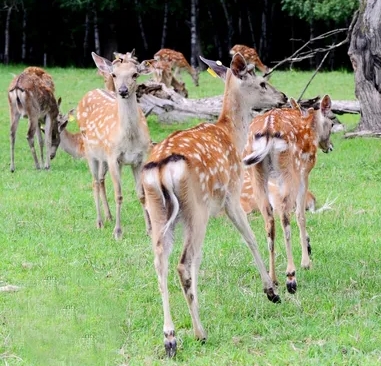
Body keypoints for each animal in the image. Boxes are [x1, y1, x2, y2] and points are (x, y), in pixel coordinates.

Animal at [76, 52, 152, 240]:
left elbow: (142, 195)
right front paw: (118, 232)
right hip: (91, 152)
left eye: (135, 74)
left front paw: (149, 229)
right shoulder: (114, 157)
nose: (123, 91)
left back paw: (109, 216)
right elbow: (118, 195)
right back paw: (100, 222)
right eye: (114, 74)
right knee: (95, 182)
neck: (129, 139)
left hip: (104, 157)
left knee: (101, 180)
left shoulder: (139, 159)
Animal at [141, 53, 286, 356]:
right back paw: (199, 333)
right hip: (195, 208)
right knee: (182, 264)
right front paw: (271, 291)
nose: (283, 96)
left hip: (158, 212)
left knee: (161, 262)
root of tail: (160, 170)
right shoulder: (230, 195)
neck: (231, 135)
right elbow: (250, 238)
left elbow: (200, 259)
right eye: (262, 82)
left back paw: (170, 337)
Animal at [240, 95, 332, 294]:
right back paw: (291, 277)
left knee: (269, 220)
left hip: (257, 172)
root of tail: (268, 130)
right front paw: (306, 261)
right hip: (288, 168)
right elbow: (300, 214)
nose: (330, 146)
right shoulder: (304, 171)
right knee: (284, 216)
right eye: (332, 122)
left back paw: (273, 279)